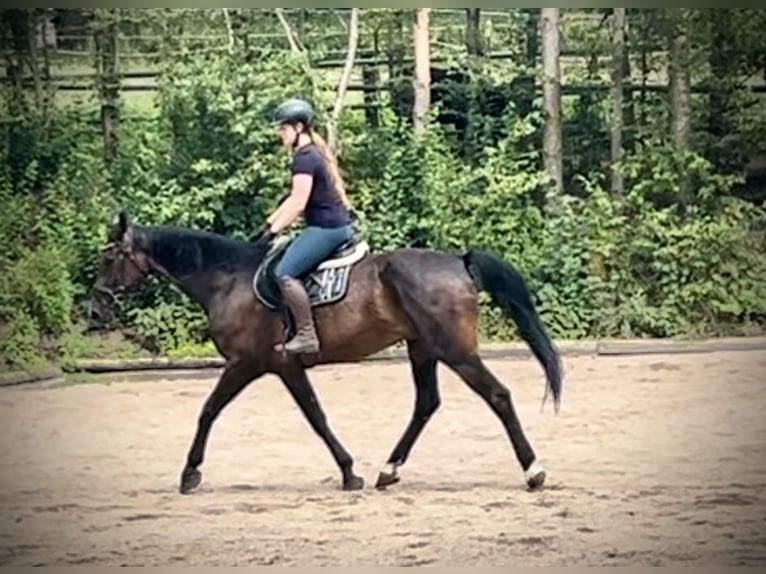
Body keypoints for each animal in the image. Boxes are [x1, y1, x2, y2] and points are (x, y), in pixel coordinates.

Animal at [91, 212, 564, 496]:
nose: (95, 308)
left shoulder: (250, 364)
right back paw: (388, 470)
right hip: (423, 349)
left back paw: (533, 470)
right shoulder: (283, 367)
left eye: (109, 257)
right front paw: (351, 471)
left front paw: (190, 473)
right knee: (427, 404)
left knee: (497, 396)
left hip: (455, 351)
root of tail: (457, 262)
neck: (229, 279)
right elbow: (315, 415)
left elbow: (213, 411)